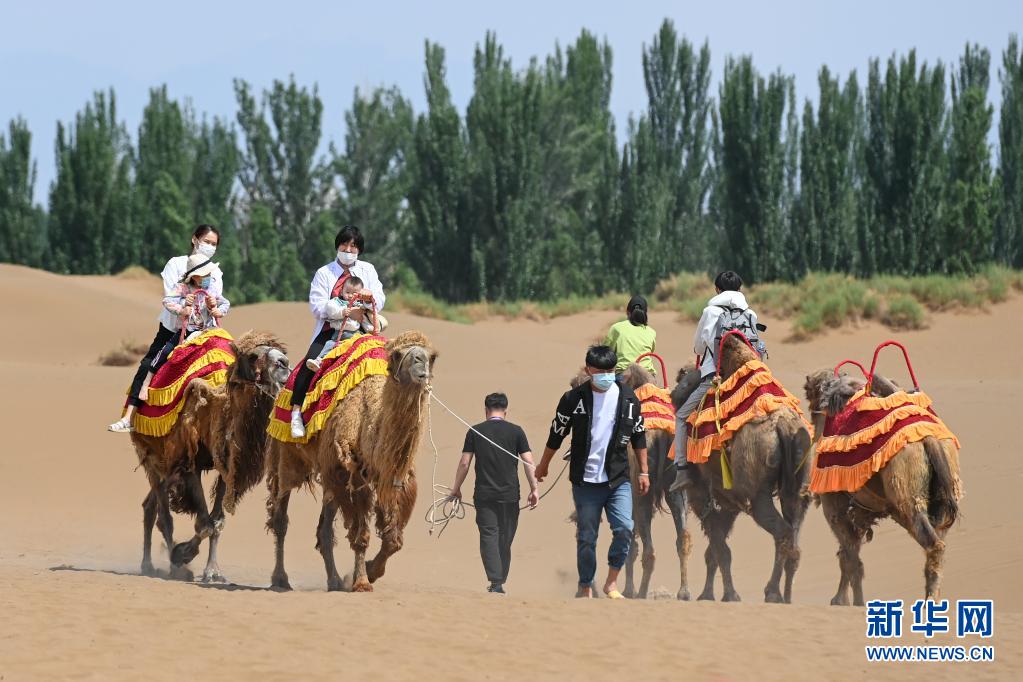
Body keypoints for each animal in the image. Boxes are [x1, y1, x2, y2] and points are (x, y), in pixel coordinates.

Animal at [129, 331, 292, 580]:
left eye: (282, 352)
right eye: (253, 356)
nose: (284, 364)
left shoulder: (226, 467)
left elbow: (216, 522)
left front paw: (212, 571)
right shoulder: (190, 464)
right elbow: (204, 524)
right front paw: (182, 554)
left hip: (167, 465)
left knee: (150, 505)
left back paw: (152, 564)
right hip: (150, 456)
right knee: (163, 515)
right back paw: (167, 567)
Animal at [263, 331, 435, 593]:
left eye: (431, 356)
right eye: (397, 354)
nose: (420, 363)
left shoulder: (393, 475)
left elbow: (393, 539)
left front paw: (371, 572)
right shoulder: (348, 472)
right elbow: (360, 536)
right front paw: (362, 581)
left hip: (329, 477)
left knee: (323, 530)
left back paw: (333, 580)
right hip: (286, 456)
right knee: (280, 516)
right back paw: (280, 579)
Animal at [675, 335, 810, 601]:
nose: (675, 392)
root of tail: (785, 428)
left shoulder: (703, 495)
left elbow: (720, 549)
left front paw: (726, 595)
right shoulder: (727, 500)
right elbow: (716, 551)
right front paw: (712, 594)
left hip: (757, 494)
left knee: (782, 532)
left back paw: (772, 593)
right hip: (796, 488)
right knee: (794, 540)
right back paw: (787, 597)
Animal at [802, 370, 961, 605]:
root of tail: (930, 440)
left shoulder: (834, 504)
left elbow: (850, 557)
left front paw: (848, 602)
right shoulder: (863, 509)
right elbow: (849, 554)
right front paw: (844, 600)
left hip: (908, 497)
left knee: (933, 544)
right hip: (941, 501)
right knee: (939, 543)